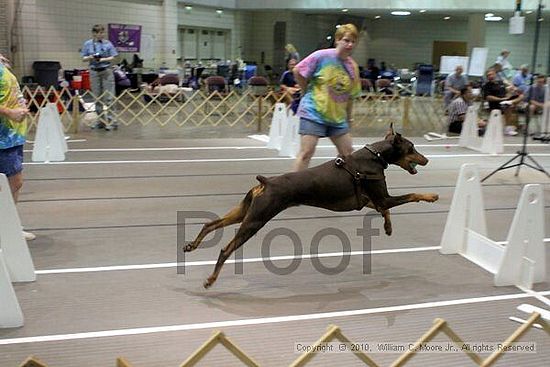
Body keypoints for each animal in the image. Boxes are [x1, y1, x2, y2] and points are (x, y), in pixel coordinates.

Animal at [185, 125, 440, 288]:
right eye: (412, 148)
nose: (427, 159)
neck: (376, 156)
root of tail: (265, 182)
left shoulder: (371, 199)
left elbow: (384, 209)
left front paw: (388, 228)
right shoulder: (383, 197)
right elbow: (412, 195)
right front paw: (431, 196)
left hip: (245, 211)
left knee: (210, 224)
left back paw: (191, 245)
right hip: (256, 220)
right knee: (225, 250)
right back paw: (210, 279)